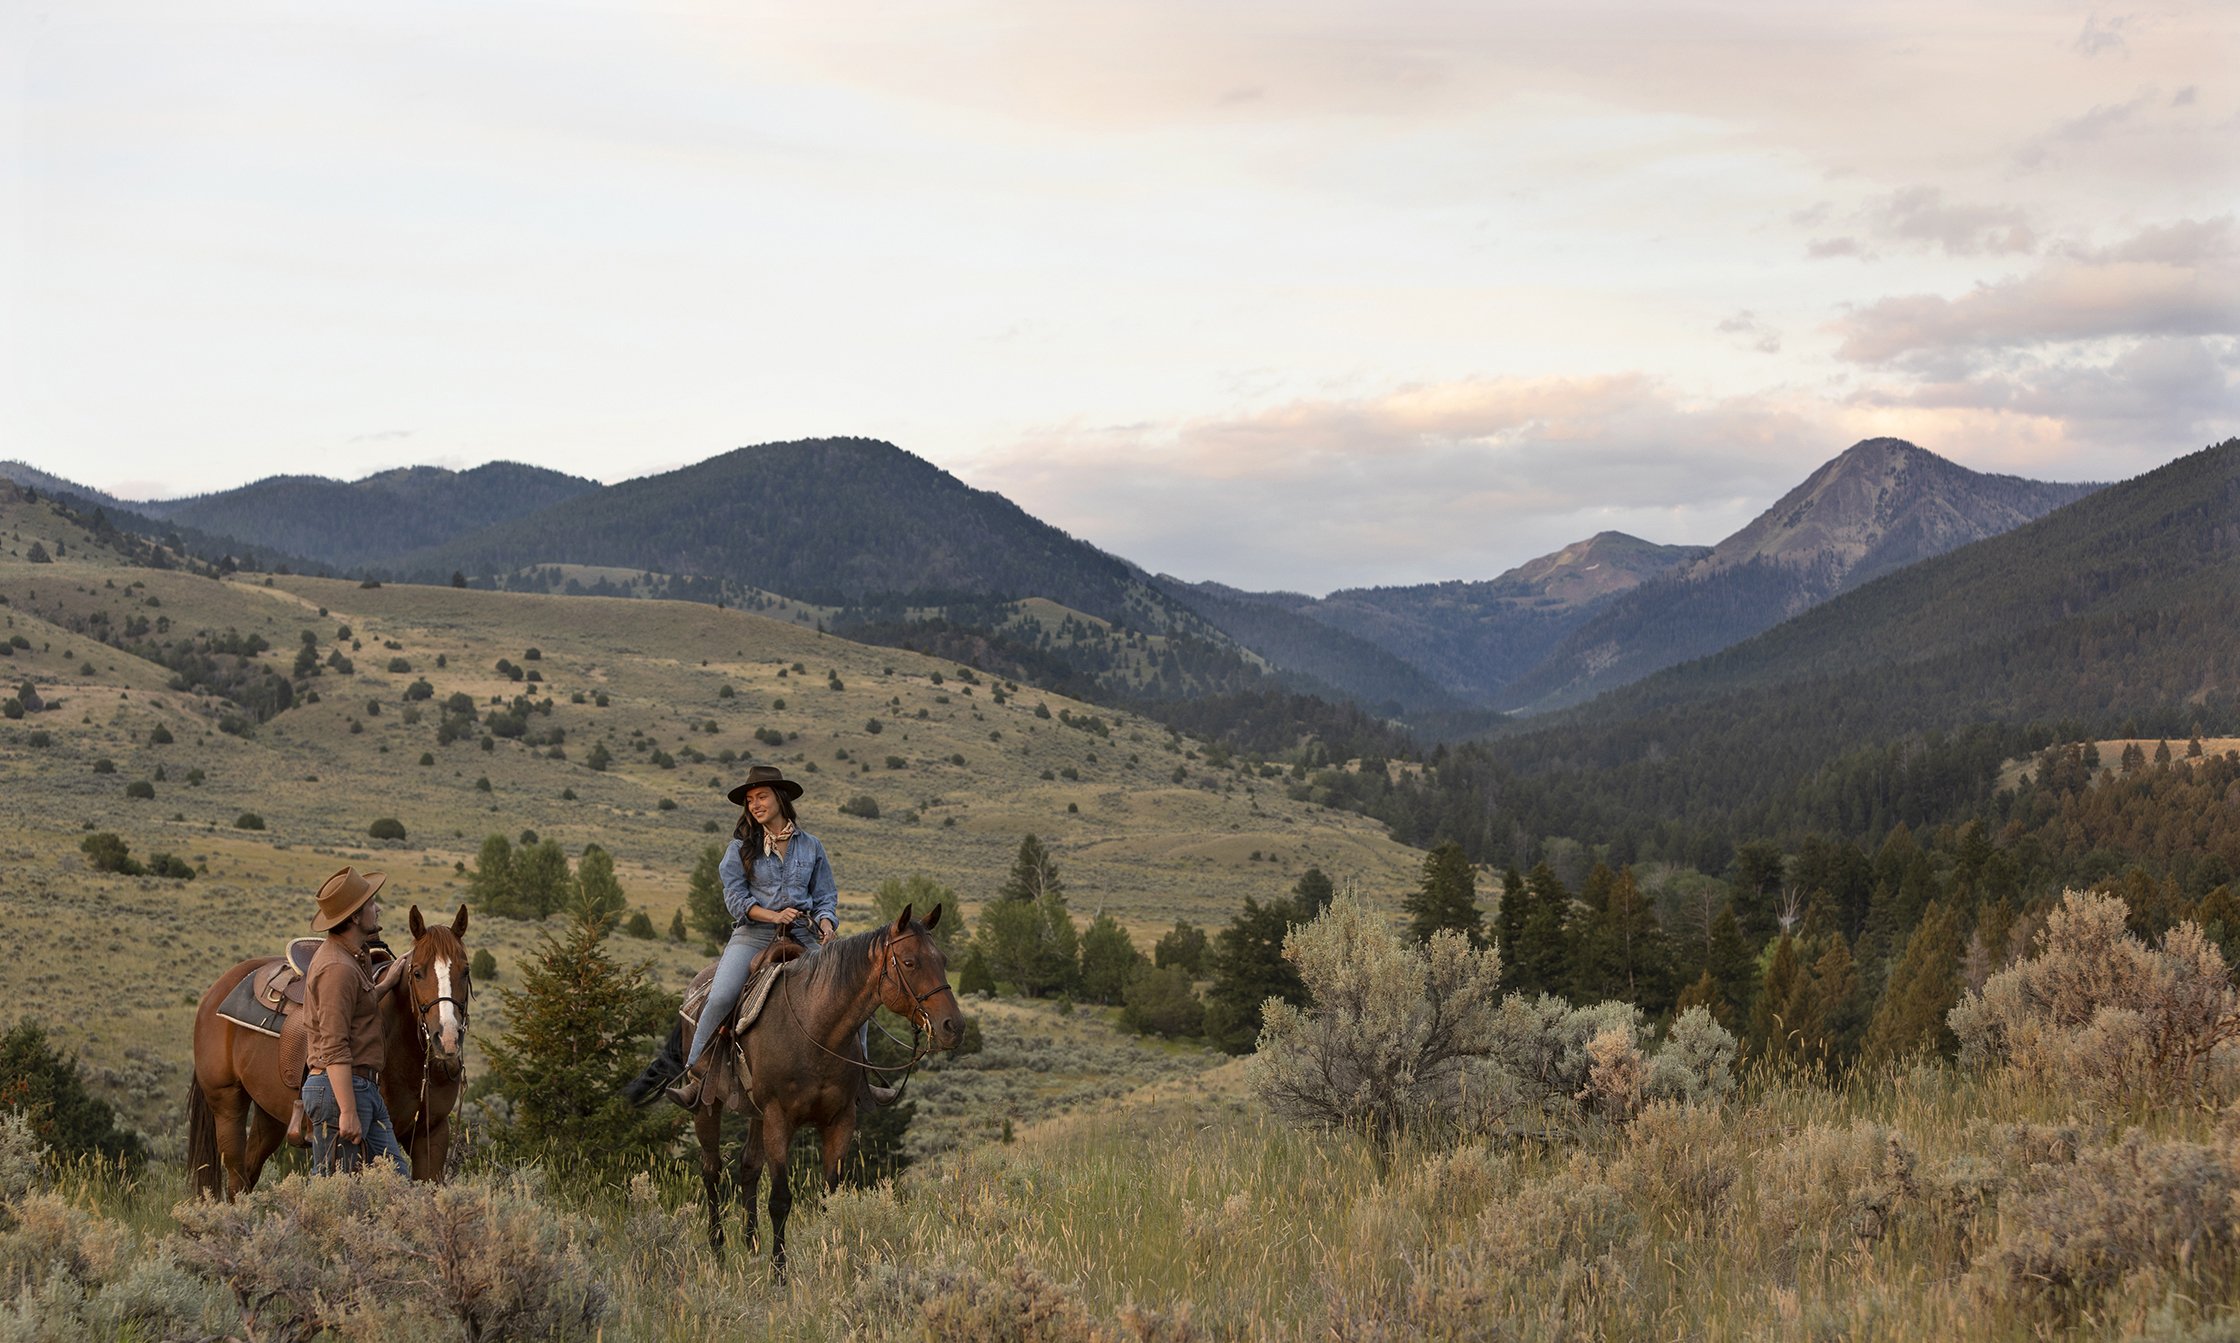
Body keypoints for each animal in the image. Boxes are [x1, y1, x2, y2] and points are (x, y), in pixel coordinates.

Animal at [188, 904, 472, 1199]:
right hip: (227, 1106)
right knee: (236, 1180)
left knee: (249, 1171)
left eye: (465, 971)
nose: (447, 1038)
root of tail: (215, 992)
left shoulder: (432, 1135)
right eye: (417, 972)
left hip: (269, 1115)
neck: (407, 1055)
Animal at [640, 904, 972, 1271]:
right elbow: (780, 1200)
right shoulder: (778, 1119)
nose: (953, 1027)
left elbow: (830, 1196)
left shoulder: (840, 1121)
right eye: (910, 962)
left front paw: (831, 1260)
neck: (816, 1030)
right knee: (711, 1170)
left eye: (942, 959)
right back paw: (718, 1252)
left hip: (755, 1114)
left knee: (748, 1167)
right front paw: (779, 1271)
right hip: (708, 1105)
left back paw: (752, 1246)